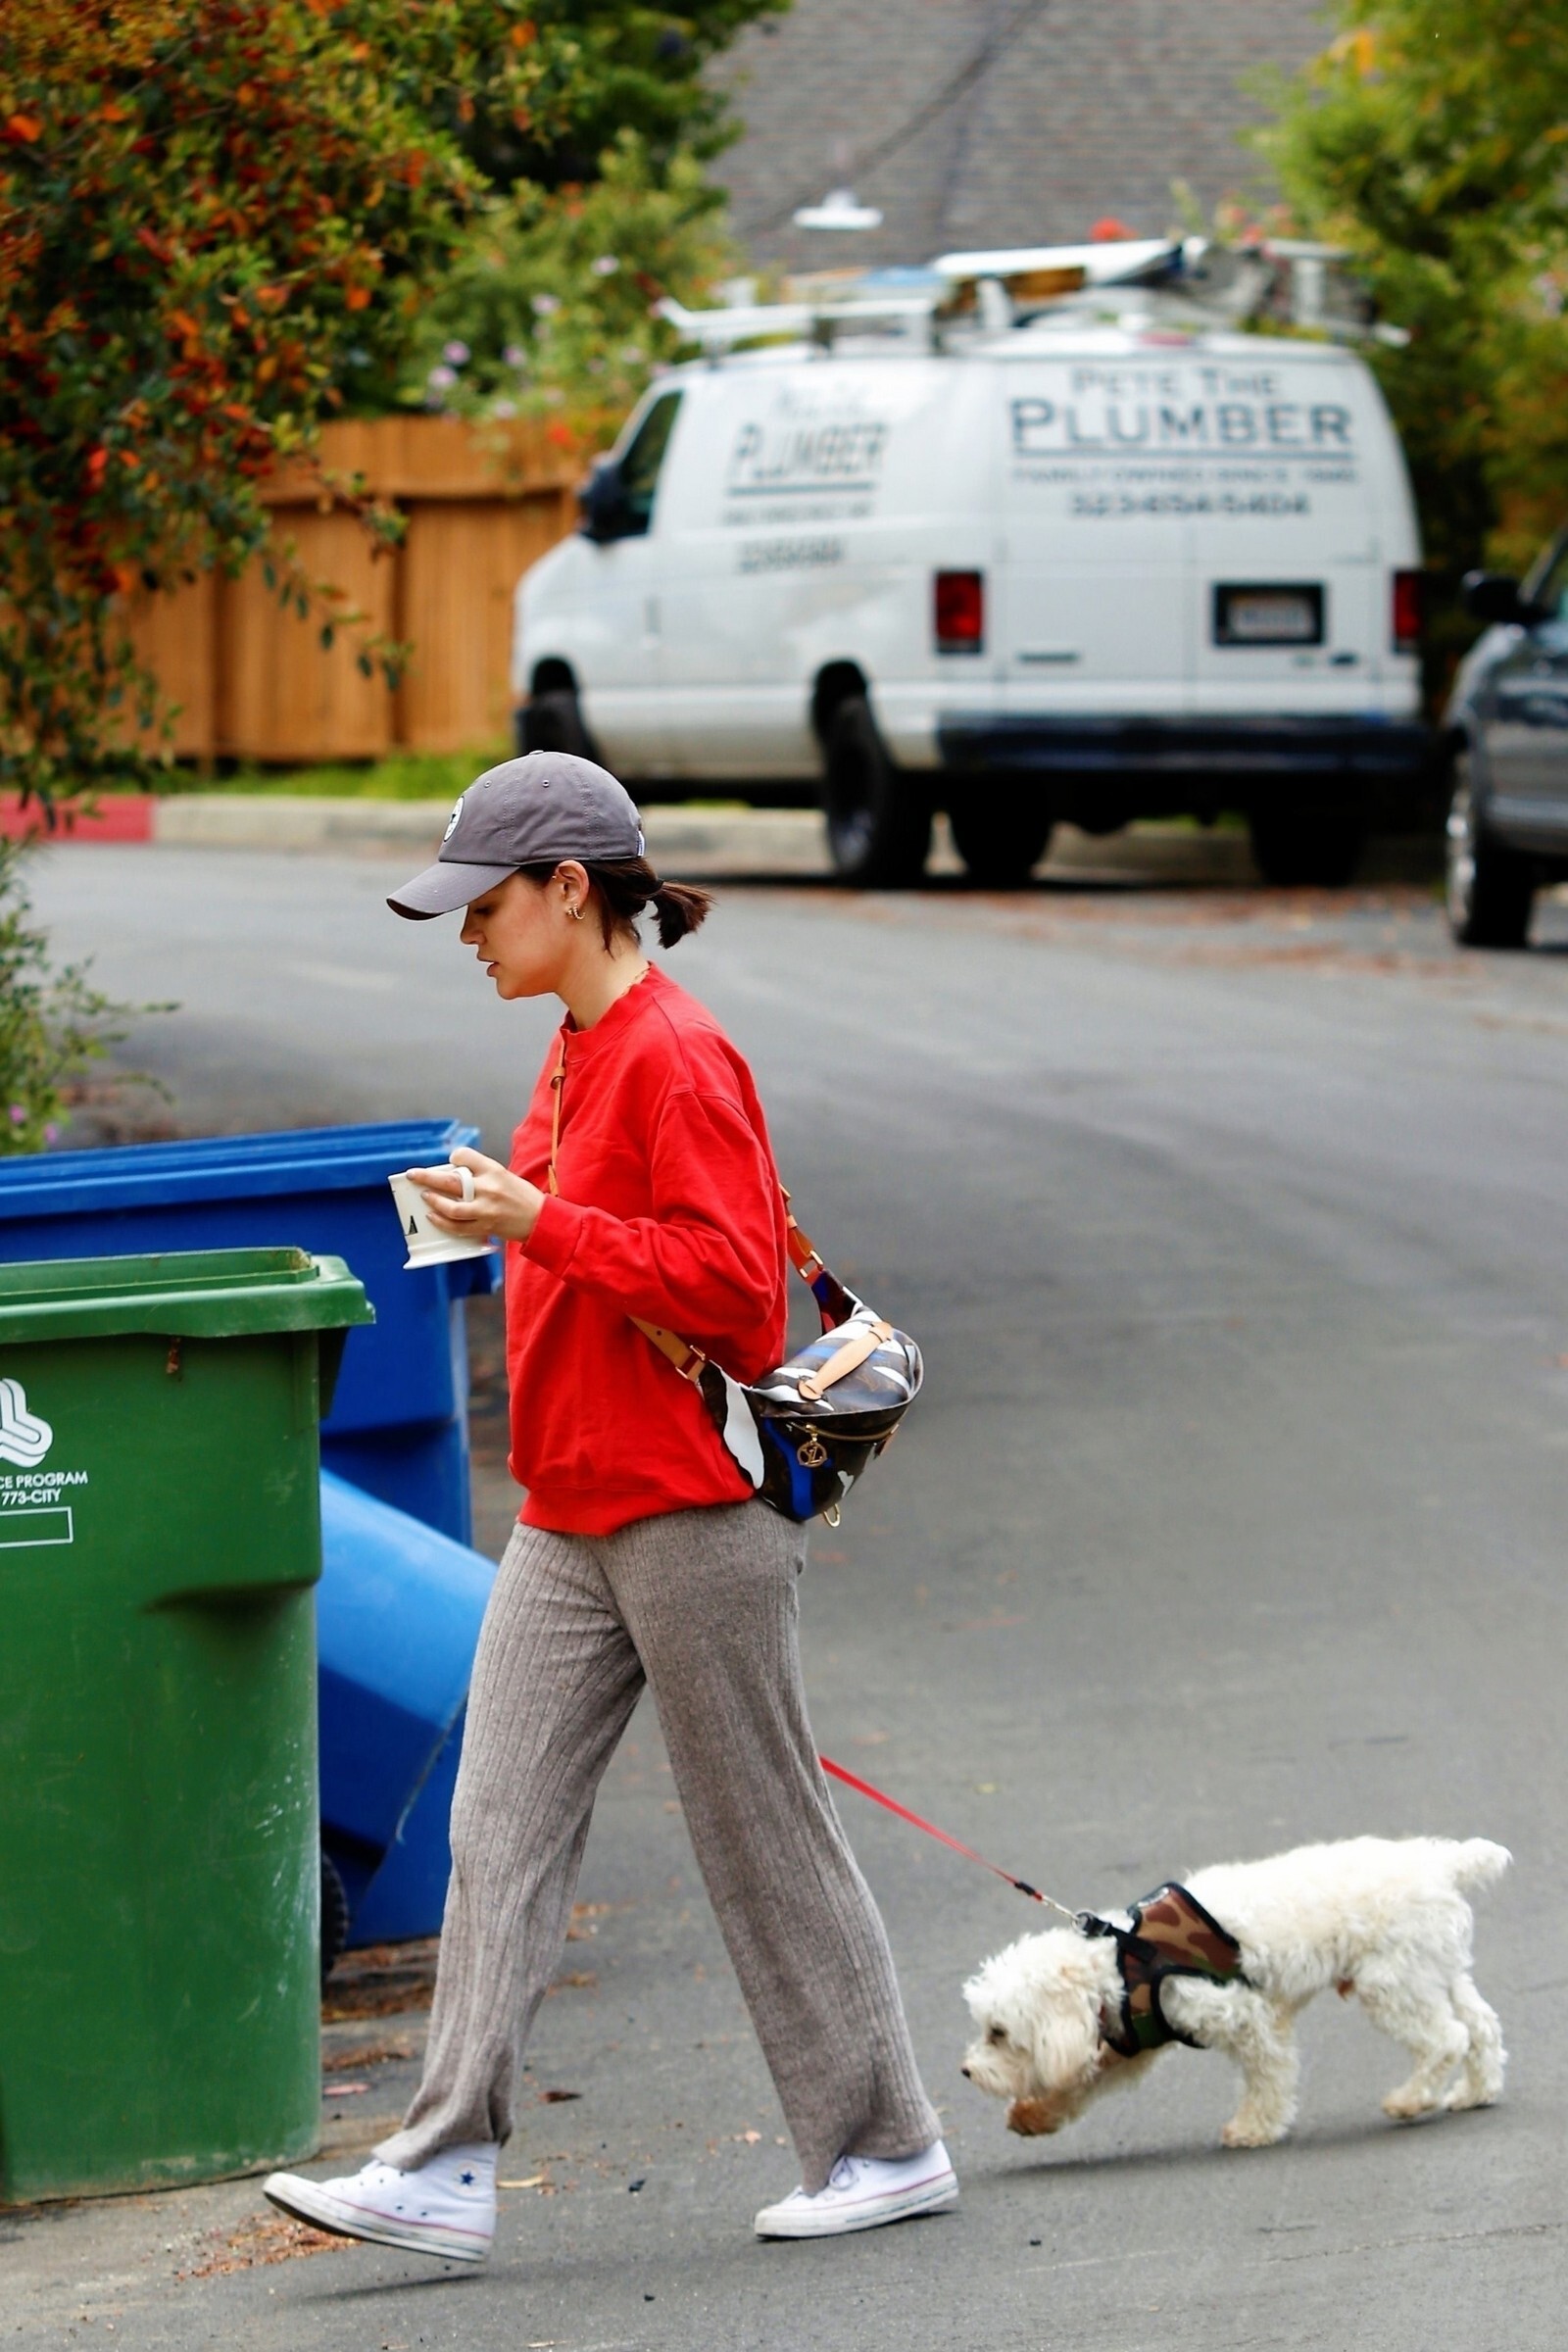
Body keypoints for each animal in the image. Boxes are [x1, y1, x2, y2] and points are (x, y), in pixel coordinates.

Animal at [962, 1835, 1509, 2150]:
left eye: (999, 2032)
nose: (966, 2071)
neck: (1118, 1963)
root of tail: (1442, 1864)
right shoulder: (1126, 2044)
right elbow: (1080, 2083)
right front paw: (1034, 2115)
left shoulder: (1245, 2016)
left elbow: (1267, 2078)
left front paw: (1254, 2128)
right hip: (1432, 1971)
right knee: (1480, 2026)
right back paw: (1474, 2092)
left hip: (1392, 1983)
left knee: (1447, 2039)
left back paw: (1411, 2100)